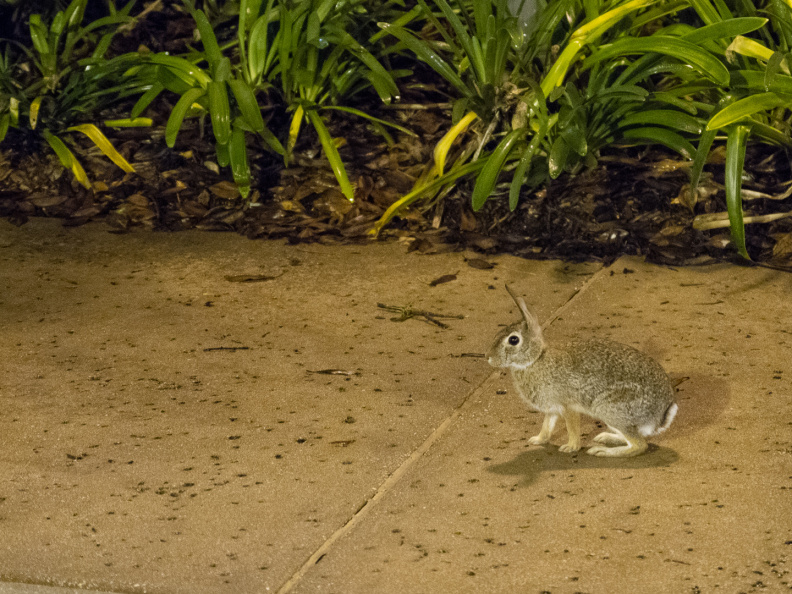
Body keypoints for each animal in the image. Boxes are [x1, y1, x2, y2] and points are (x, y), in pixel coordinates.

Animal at [487, 285, 678, 457]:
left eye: (513, 340)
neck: (535, 359)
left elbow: (571, 428)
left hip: (609, 409)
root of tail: (662, 415)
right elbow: (547, 426)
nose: (488, 357)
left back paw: (601, 451)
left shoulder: (568, 405)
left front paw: (570, 447)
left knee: (639, 445)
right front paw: (537, 439)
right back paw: (605, 437)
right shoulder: (552, 408)